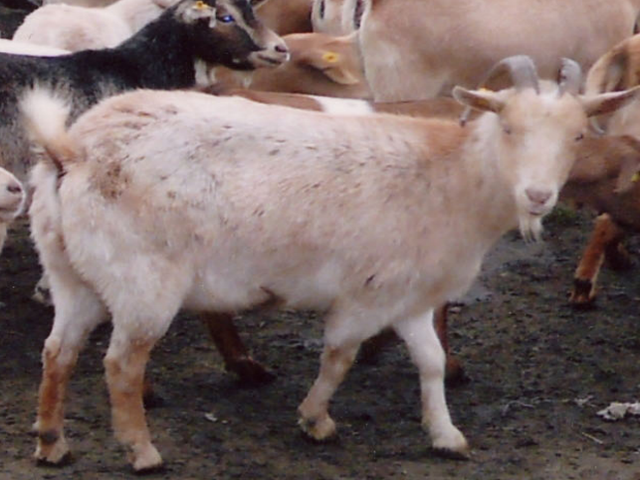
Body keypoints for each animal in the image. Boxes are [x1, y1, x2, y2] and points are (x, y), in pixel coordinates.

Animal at [22, 56, 637, 471]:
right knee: (121, 364)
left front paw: (445, 434)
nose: (538, 196)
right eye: (509, 127)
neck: (452, 174)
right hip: (143, 280)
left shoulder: (411, 294)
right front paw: (316, 419)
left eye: (577, 135)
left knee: (58, 352)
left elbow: (432, 361)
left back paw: (51, 442)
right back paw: (142, 449)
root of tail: (72, 149)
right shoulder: (369, 290)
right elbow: (340, 356)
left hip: (72, 272)